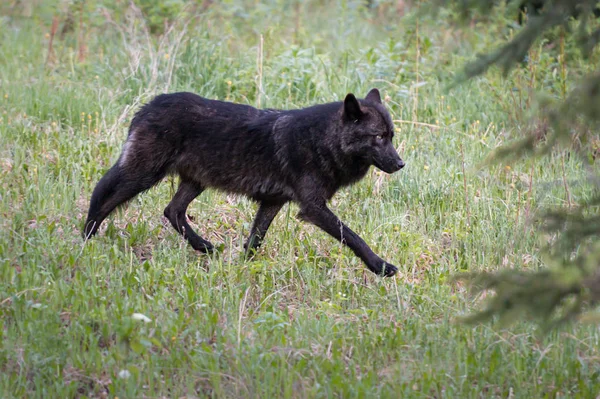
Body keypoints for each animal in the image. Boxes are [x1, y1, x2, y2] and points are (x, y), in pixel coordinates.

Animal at [83, 89, 404, 278]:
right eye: (378, 137)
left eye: (391, 136)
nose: (401, 164)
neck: (321, 140)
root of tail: (149, 105)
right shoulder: (313, 208)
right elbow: (352, 236)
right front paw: (381, 266)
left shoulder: (273, 203)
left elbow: (255, 241)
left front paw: (242, 269)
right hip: (143, 176)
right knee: (102, 197)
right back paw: (86, 240)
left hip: (194, 183)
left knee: (172, 211)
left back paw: (205, 247)